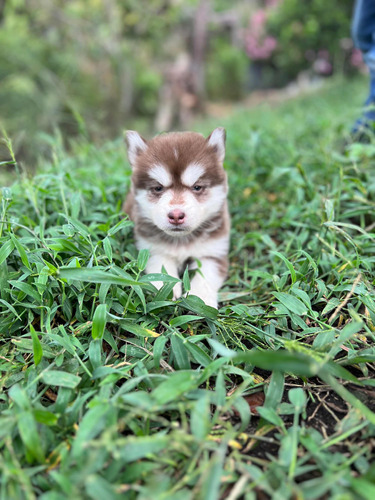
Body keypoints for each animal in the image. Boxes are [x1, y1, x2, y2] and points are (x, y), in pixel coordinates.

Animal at [124, 128, 229, 308]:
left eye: (197, 187)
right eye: (158, 188)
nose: (176, 215)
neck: (182, 240)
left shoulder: (213, 253)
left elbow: (205, 276)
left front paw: (201, 300)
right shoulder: (154, 250)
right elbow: (161, 270)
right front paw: (164, 291)